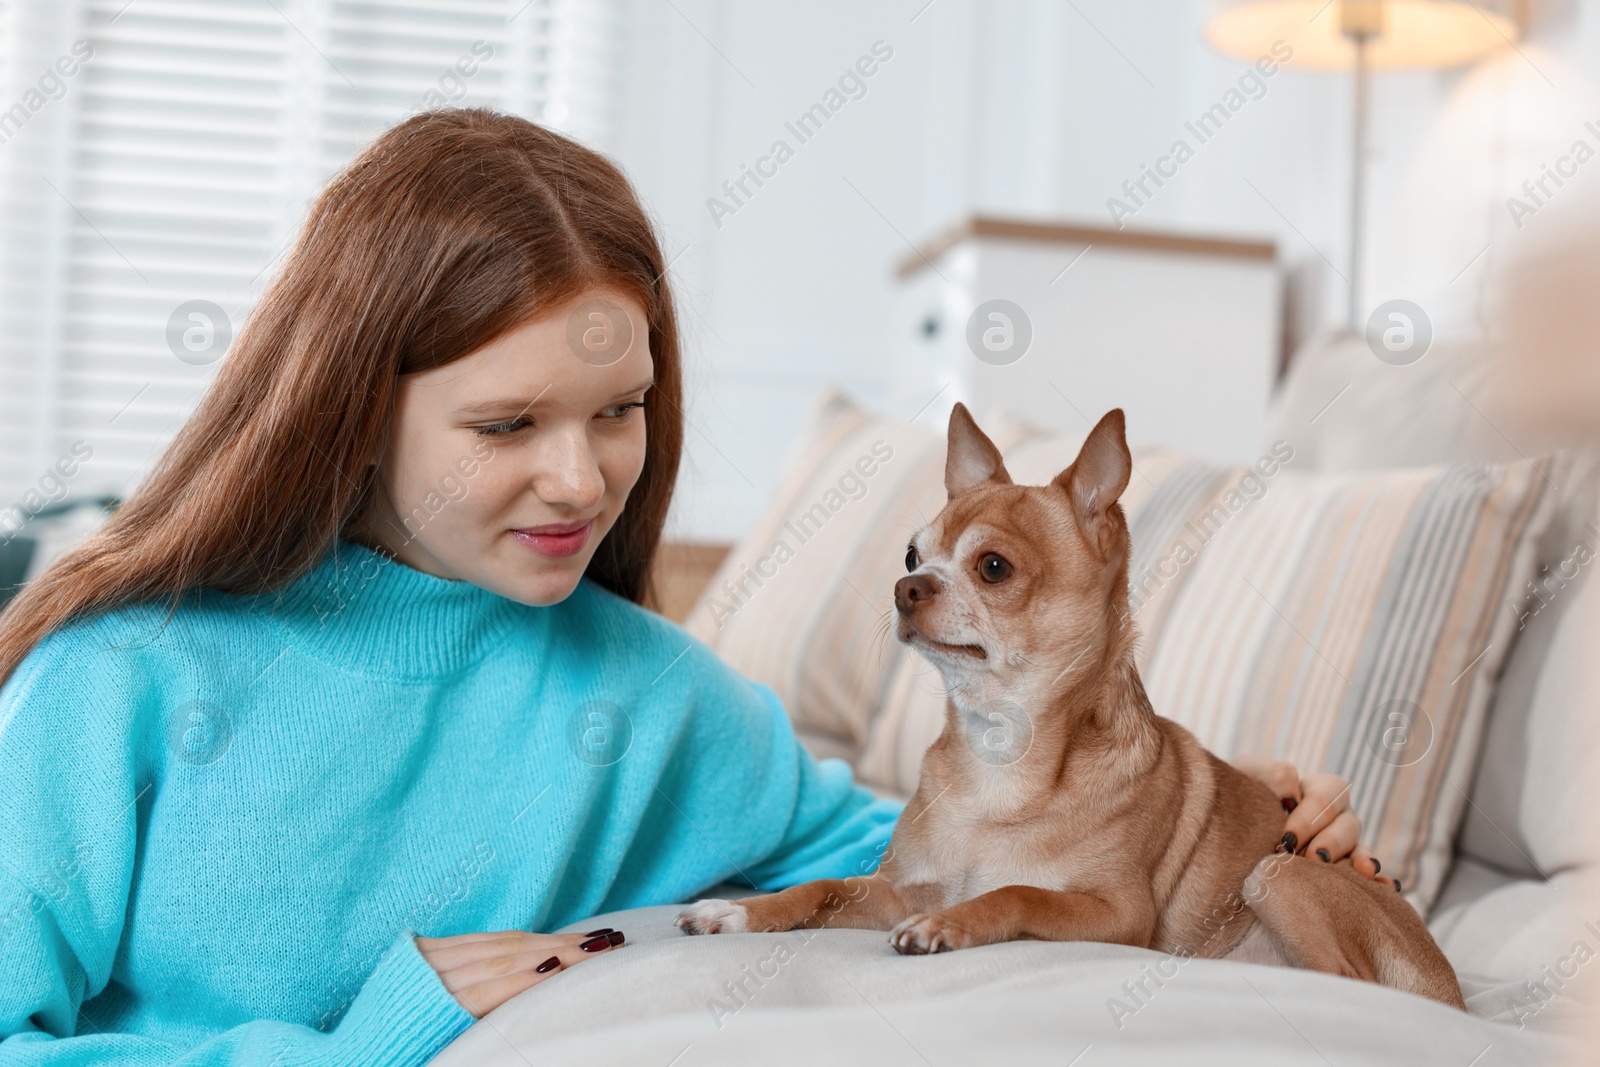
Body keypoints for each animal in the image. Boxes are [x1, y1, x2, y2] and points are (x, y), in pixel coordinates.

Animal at [675, 404, 1465, 1017]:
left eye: (993, 567)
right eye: (909, 557)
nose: (906, 589)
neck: (1000, 745)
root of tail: (1453, 990)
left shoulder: (1116, 913)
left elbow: (1018, 892)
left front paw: (952, 924)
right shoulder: (899, 888)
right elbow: (823, 885)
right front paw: (738, 909)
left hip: (1280, 874)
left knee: (1347, 985)